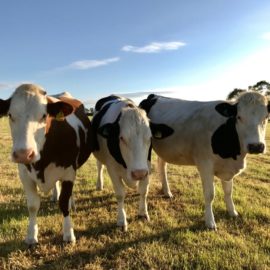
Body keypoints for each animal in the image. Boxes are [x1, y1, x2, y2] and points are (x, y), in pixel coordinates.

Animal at [0, 84, 94, 245]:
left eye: (44, 116)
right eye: (10, 115)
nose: (24, 154)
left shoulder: (69, 171)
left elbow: (64, 202)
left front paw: (68, 234)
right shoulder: (24, 175)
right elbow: (32, 205)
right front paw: (31, 236)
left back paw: (72, 203)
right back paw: (54, 195)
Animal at [92, 94, 152, 230]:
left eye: (150, 137)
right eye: (121, 138)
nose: (138, 174)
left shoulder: (147, 166)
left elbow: (144, 190)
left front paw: (143, 213)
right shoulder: (112, 169)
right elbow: (120, 194)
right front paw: (121, 220)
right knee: (99, 166)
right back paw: (99, 184)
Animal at [140, 92, 268, 229]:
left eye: (266, 117)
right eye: (239, 117)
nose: (256, 146)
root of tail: (153, 95)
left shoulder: (227, 167)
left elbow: (228, 192)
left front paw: (232, 212)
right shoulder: (205, 164)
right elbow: (210, 194)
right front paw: (210, 222)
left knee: (161, 165)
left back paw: (167, 192)